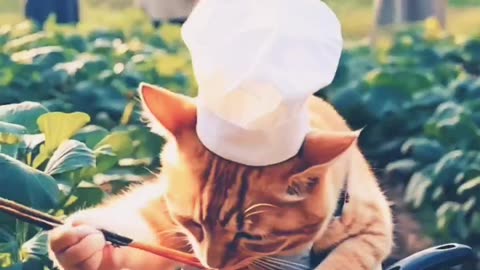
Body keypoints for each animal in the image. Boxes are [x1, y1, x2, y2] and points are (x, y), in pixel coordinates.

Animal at [47, 83, 394, 268]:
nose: (212, 265)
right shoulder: (161, 220)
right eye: (192, 224)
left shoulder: (376, 227)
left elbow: (351, 255)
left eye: (252, 238)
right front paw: (82, 245)